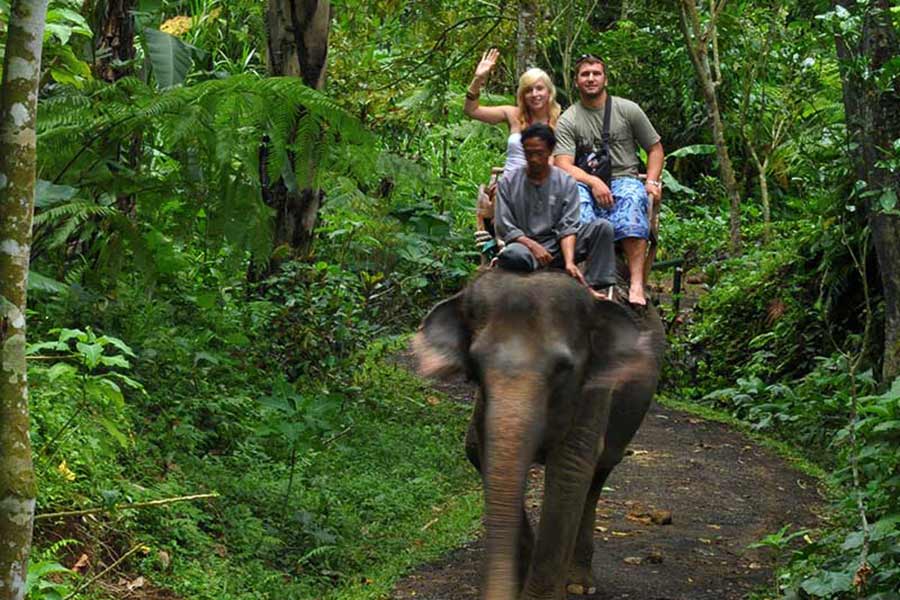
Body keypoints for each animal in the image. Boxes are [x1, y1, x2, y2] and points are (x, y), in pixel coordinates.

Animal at [413, 269, 665, 600]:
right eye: (476, 366)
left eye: (563, 368)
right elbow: (479, 450)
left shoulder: (593, 389)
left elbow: (569, 470)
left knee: (599, 472)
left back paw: (578, 583)